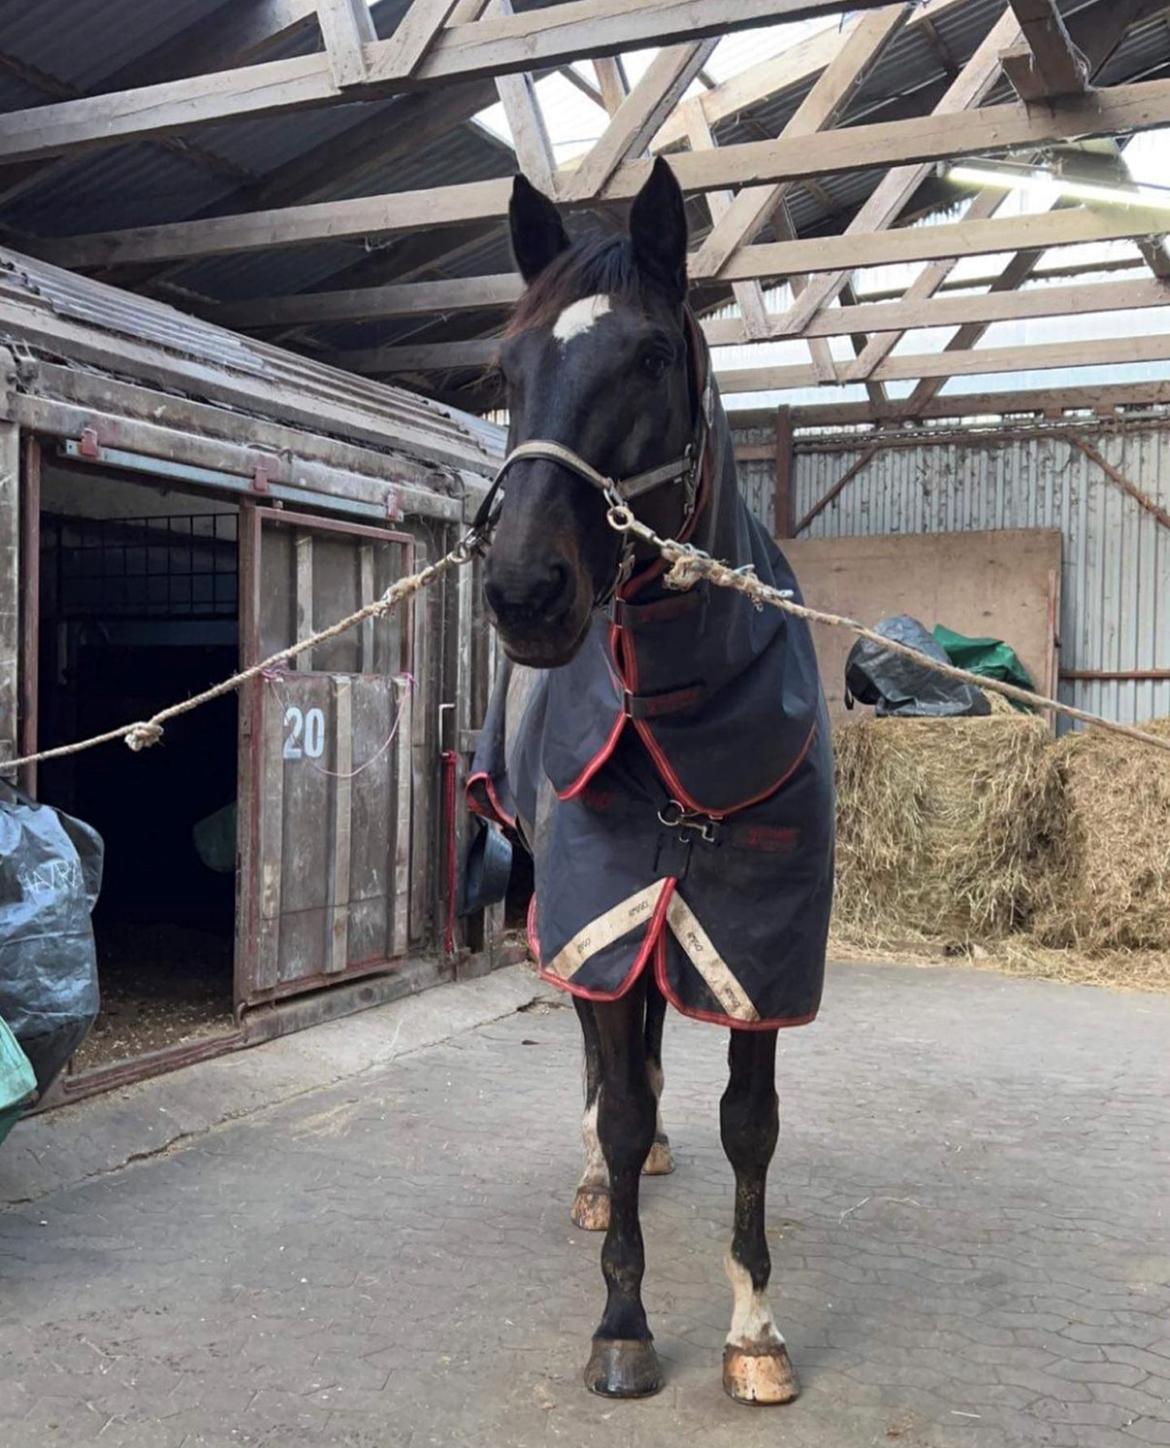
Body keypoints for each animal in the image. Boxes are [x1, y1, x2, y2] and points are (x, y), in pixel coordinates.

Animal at [460, 155, 834, 1401]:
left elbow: (751, 1121)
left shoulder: (758, 941)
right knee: (599, 1060)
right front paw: (622, 1323)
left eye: (651, 357)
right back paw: (594, 1179)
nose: (525, 590)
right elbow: (618, 1104)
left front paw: (755, 1327)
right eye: (508, 367)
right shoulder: (603, 905)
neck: (679, 715)